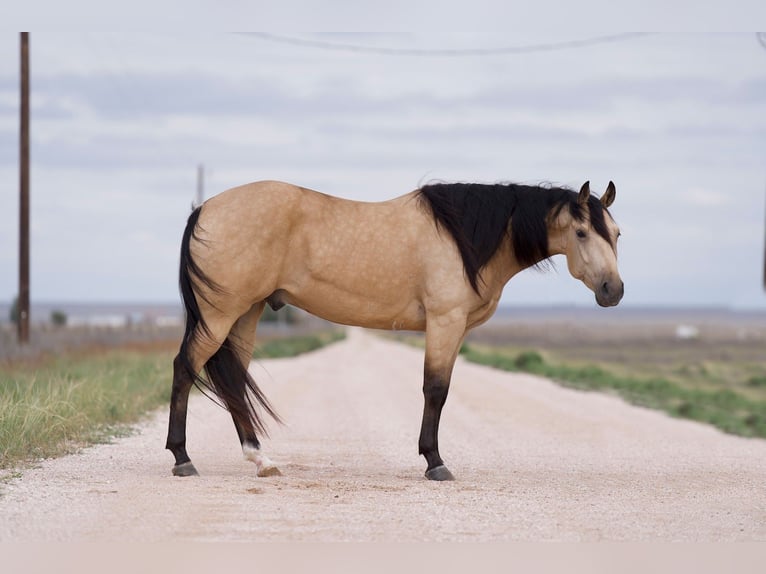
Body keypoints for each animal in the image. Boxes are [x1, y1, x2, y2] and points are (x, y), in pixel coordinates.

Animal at [165, 179, 623, 481]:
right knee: (185, 368)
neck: (464, 237)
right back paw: (183, 459)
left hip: (246, 314)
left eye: (617, 233)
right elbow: (435, 390)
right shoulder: (445, 322)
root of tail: (204, 208)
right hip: (221, 315)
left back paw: (261, 459)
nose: (613, 290)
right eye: (581, 232)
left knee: (233, 381)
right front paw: (435, 462)